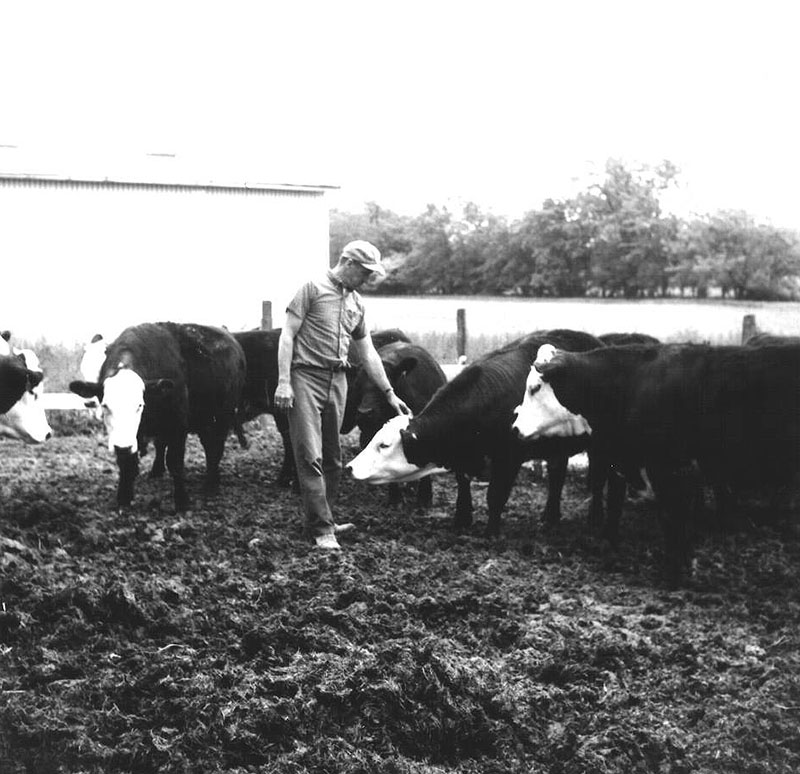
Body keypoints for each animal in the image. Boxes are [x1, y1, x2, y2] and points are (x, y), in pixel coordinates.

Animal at [71, 322, 247, 516]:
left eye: (139, 405)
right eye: (105, 405)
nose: (122, 446)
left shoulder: (178, 424)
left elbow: (175, 462)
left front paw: (182, 501)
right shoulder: (132, 436)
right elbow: (128, 462)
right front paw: (124, 498)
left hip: (223, 415)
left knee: (216, 447)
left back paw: (212, 482)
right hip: (204, 419)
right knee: (205, 445)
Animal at [512, 342, 800, 584]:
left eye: (535, 388)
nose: (514, 428)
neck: (631, 385)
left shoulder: (670, 469)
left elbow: (671, 518)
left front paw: (674, 572)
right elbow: (620, 506)